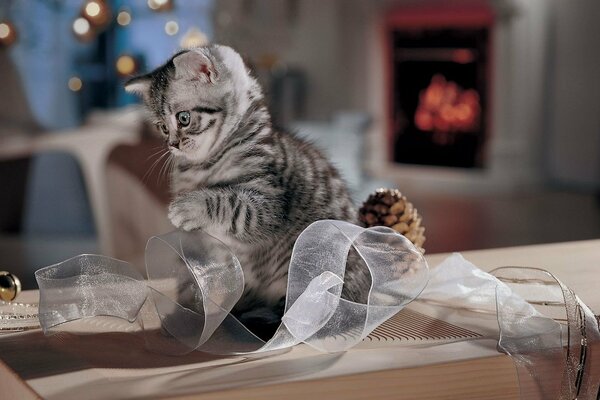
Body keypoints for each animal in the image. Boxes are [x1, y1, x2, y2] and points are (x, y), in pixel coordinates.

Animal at [124, 44, 368, 340]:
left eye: (183, 118)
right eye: (161, 126)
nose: (173, 145)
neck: (203, 166)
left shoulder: (269, 203)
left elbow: (232, 203)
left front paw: (189, 206)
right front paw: (191, 309)